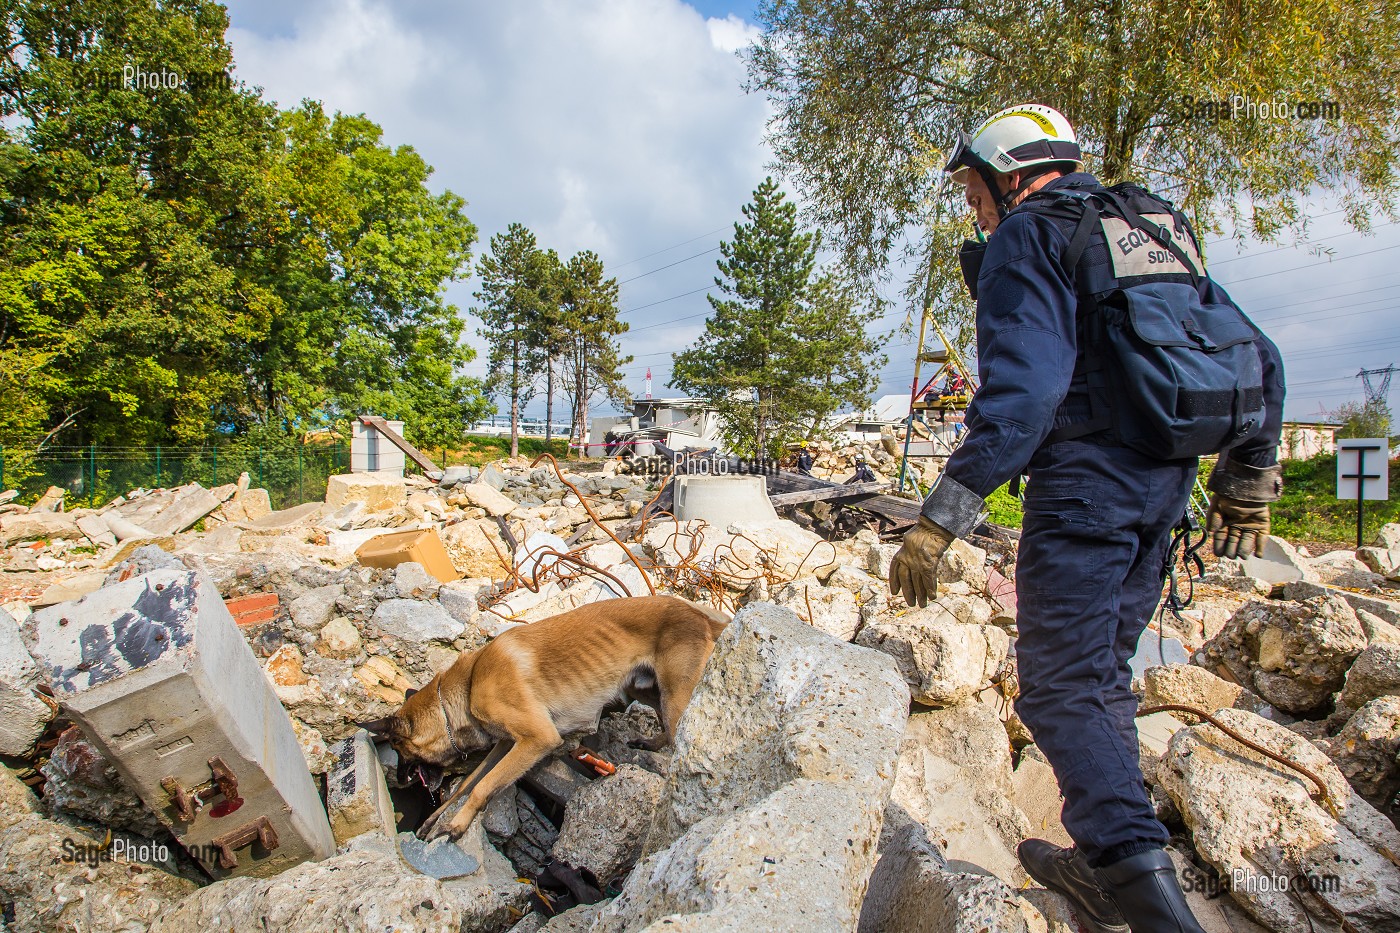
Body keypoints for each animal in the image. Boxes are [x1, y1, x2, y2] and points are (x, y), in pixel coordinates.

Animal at [366, 596, 728, 840]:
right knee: (666, 729)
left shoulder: (536, 740)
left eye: (399, 751)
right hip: (645, 690)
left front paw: (457, 823)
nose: (400, 780)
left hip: (673, 696)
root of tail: (699, 614)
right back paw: (648, 743)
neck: (468, 686)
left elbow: (482, 787)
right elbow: (466, 785)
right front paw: (435, 819)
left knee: (679, 737)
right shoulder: (505, 745)